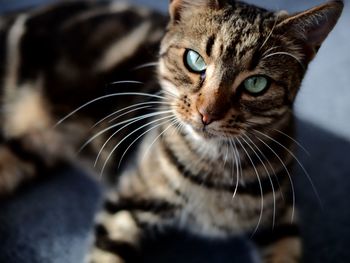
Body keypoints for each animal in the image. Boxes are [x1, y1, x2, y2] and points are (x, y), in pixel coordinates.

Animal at [0, 0, 344, 263]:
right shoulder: (127, 205)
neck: (215, 172)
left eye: (256, 84)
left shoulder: (281, 219)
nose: (207, 114)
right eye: (195, 60)